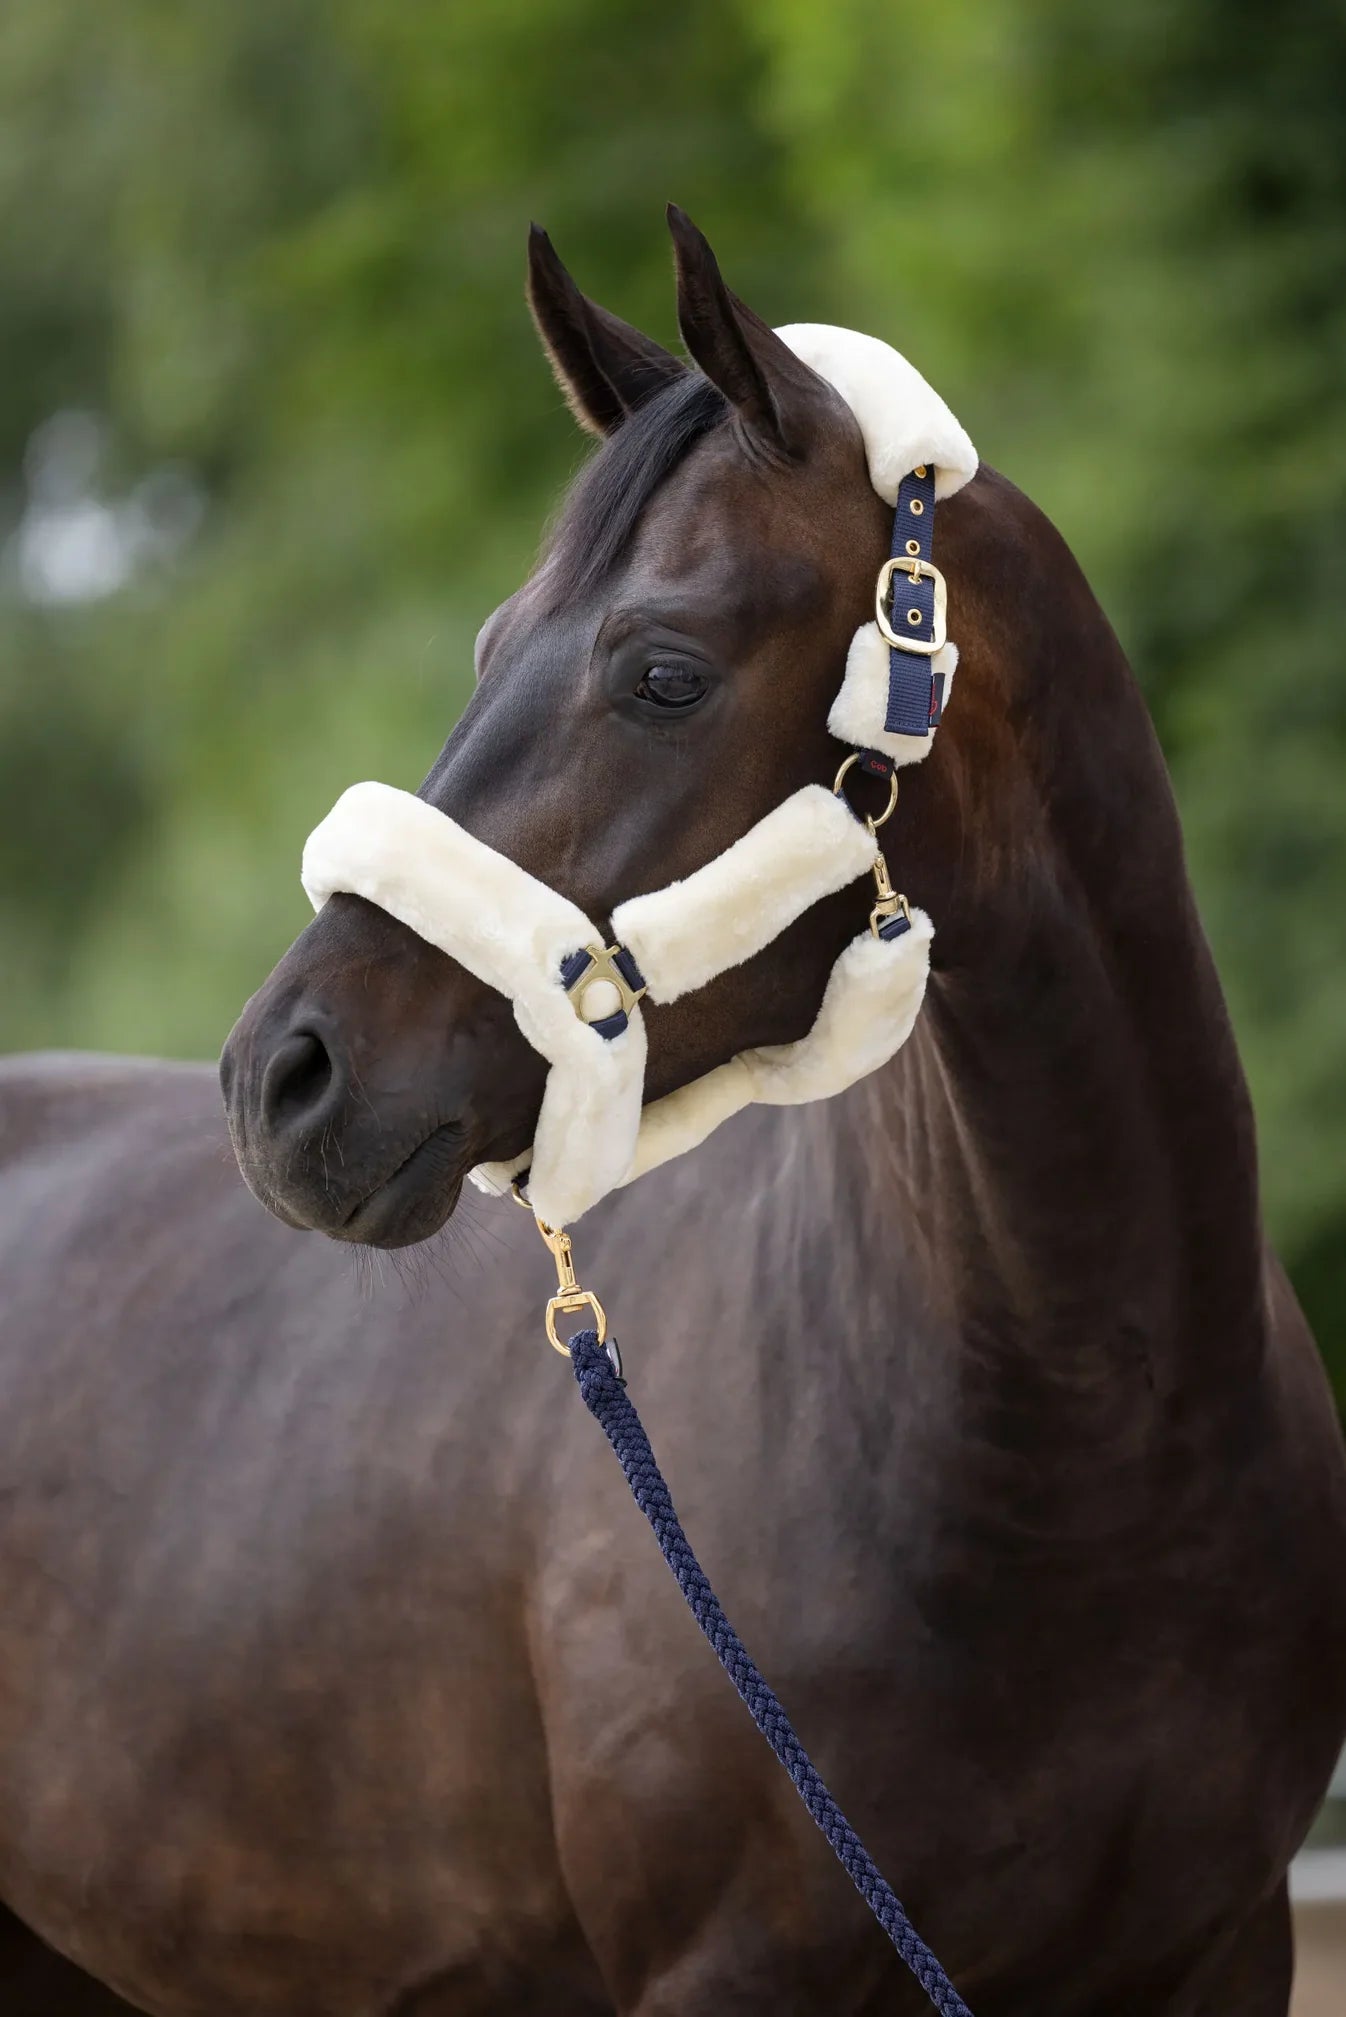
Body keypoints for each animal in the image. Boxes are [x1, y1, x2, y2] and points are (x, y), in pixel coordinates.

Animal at [0, 205, 1343, 2016]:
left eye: (661, 671)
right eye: (490, 644)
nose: (281, 1077)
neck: (1089, 1439)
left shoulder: (1219, 1948)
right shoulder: (732, 1970)